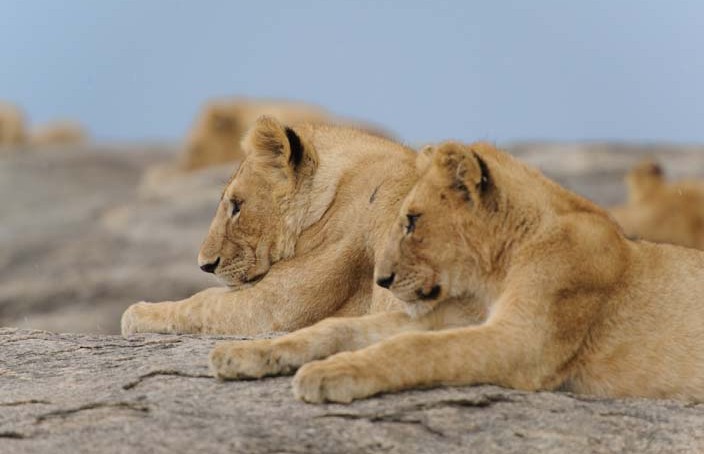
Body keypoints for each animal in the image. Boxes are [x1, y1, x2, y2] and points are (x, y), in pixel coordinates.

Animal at [210, 140, 704, 402]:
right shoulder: (449, 315)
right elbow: (335, 327)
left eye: (412, 220)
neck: (495, 270)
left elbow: (414, 350)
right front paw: (243, 354)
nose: (381, 280)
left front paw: (331, 374)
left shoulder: (526, 343)